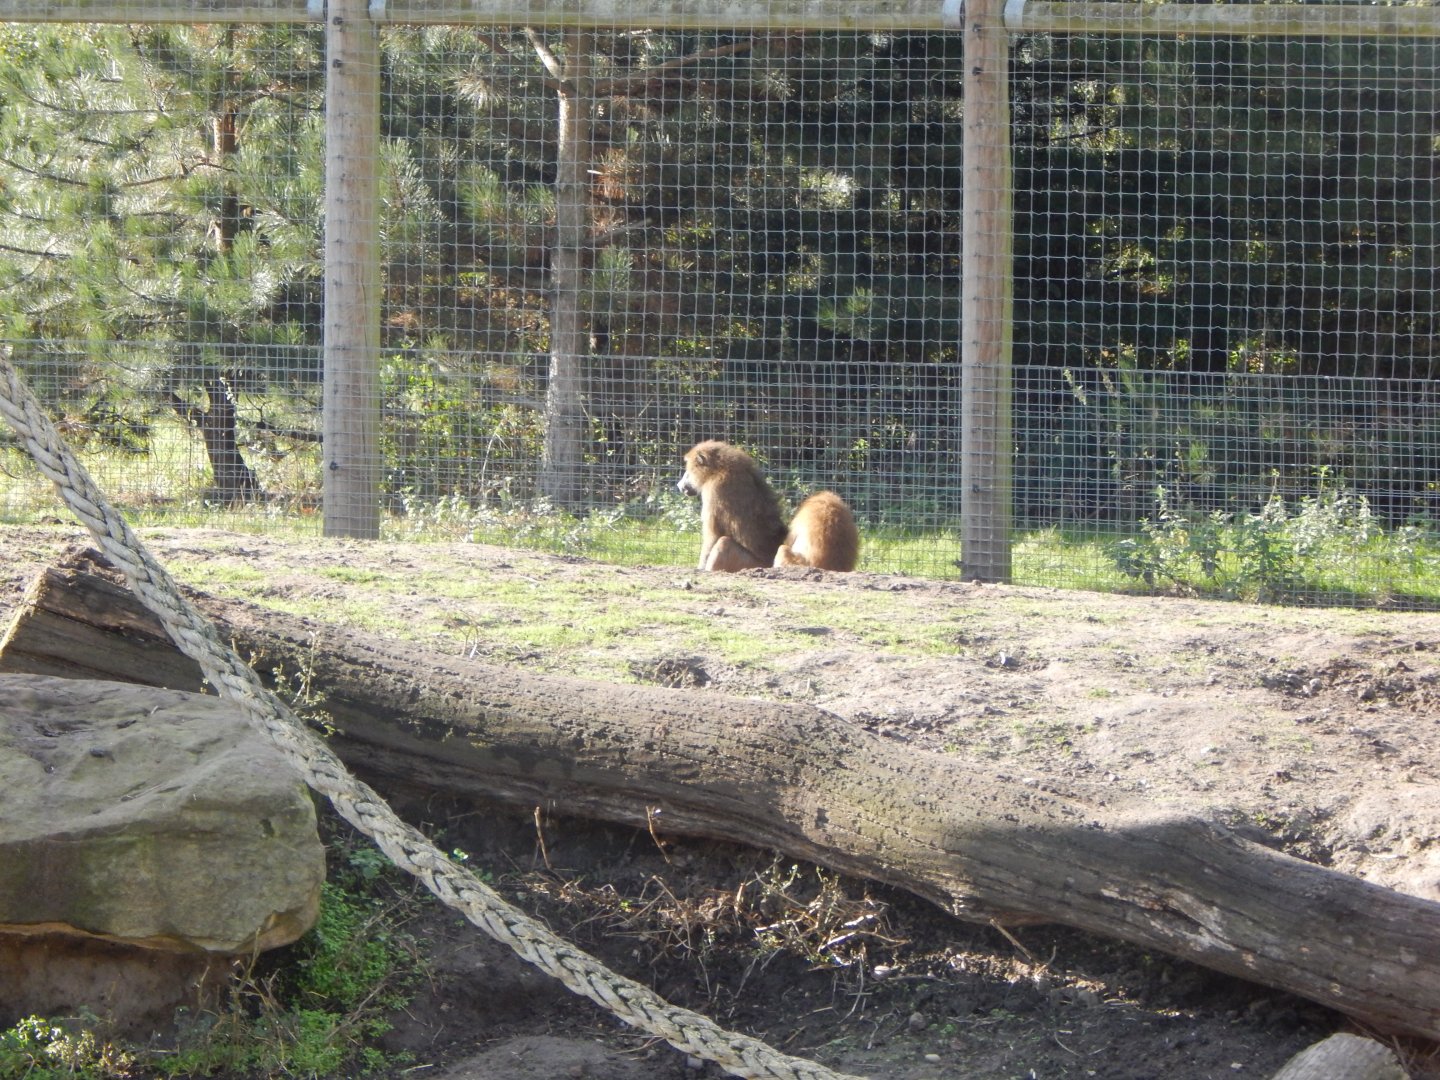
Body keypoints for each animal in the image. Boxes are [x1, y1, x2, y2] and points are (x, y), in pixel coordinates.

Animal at [677, 440, 860, 573]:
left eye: (688, 470)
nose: (679, 485)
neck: (721, 468)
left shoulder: (714, 490)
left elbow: (712, 537)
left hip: (750, 563)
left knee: (724, 543)